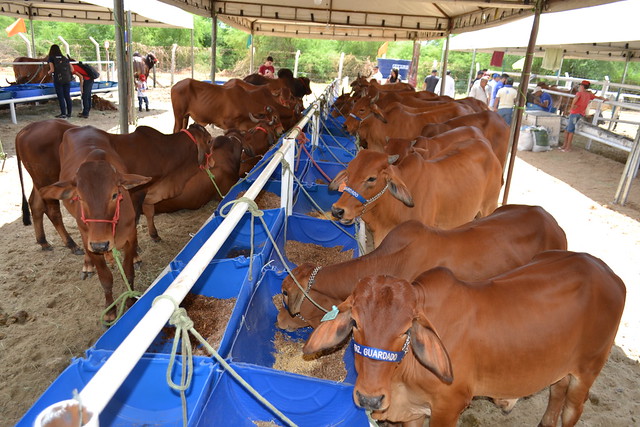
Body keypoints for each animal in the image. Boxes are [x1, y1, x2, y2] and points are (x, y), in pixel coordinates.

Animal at [40, 138, 151, 320]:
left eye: (114, 195)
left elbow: (128, 273)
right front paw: (110, 310)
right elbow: (105, 279)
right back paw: (87, 264)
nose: (101, 245)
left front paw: (130, 302)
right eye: (79, 197)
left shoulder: (129, 238)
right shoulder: (91, 242)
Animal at [304, 252, 624, 427]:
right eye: (355, 322)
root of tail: (606, 271)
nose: (370, 398)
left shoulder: (448, 408)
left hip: (588, 370)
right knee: (556, 392)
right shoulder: (412, 410)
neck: (400, 378)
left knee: (572, 409)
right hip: (561, 366)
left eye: (406, 329)